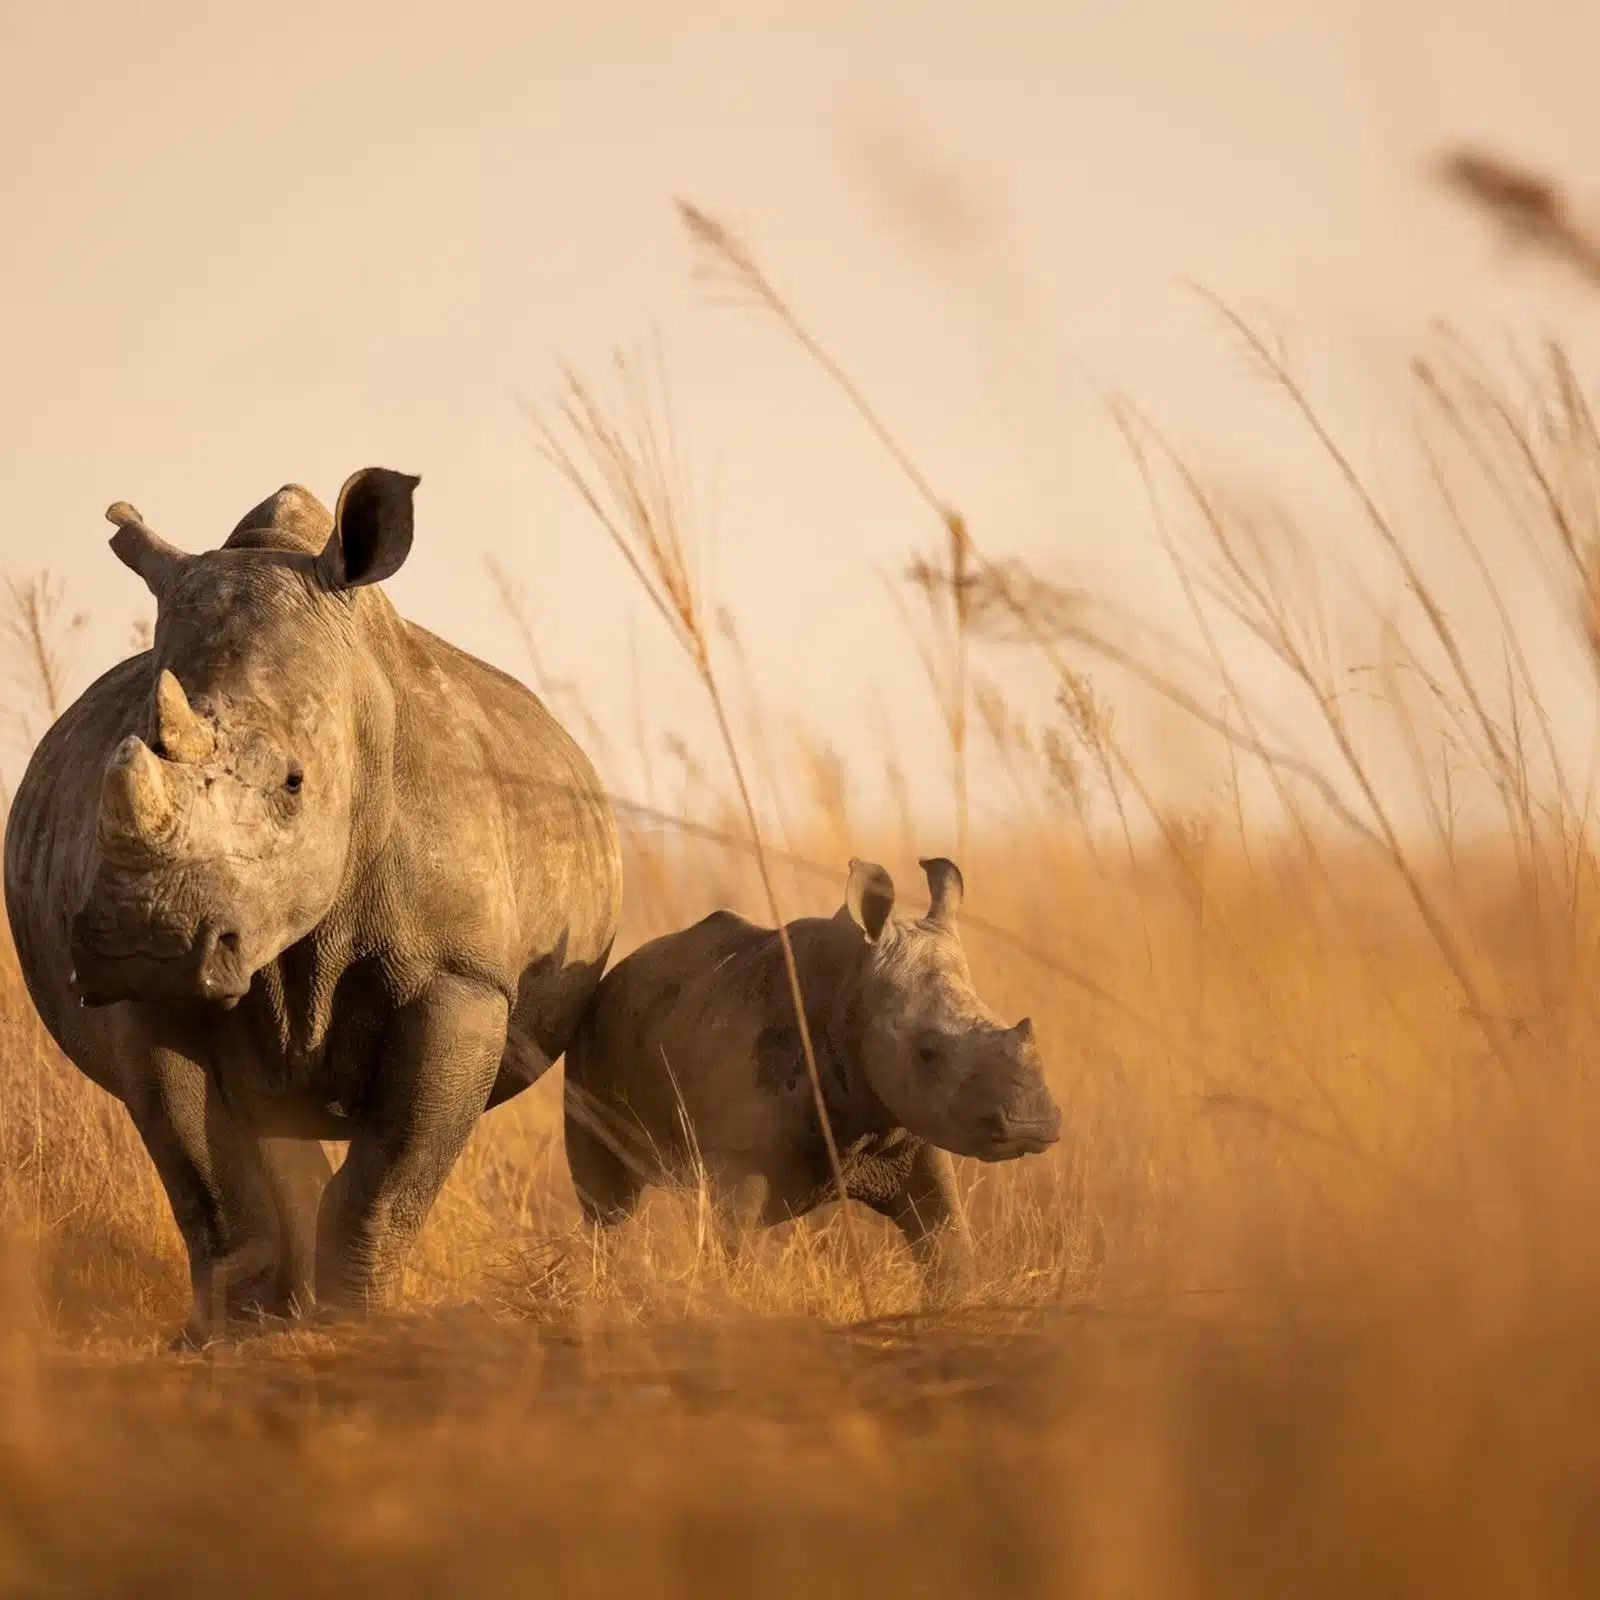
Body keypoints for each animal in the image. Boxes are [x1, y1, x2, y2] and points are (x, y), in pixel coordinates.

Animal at [563, 857, 1062, 1280]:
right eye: (927, 1052)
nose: (1032, 1125)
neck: (850, 987)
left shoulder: (912, 1139)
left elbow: (948, 1244)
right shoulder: (737, 1155)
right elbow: (733, 1253)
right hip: (585, 1040)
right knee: (609, 1206)